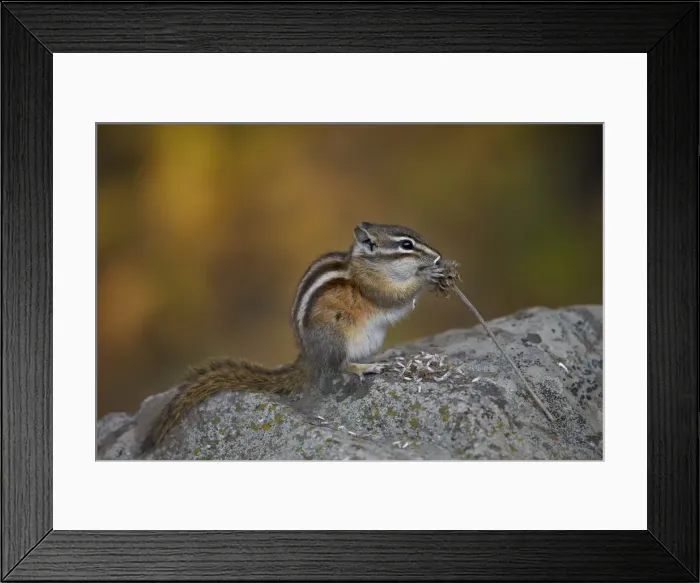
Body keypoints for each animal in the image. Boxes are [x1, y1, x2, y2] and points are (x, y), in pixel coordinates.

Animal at [143, 222, 448, 451]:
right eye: (406, 245)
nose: (437, 256)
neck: (370, 265)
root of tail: (309, 357)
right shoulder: (374, 287)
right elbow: (396, 299)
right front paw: (429, 275)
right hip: (337, 336)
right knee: (338, 366)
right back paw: (365, 367)